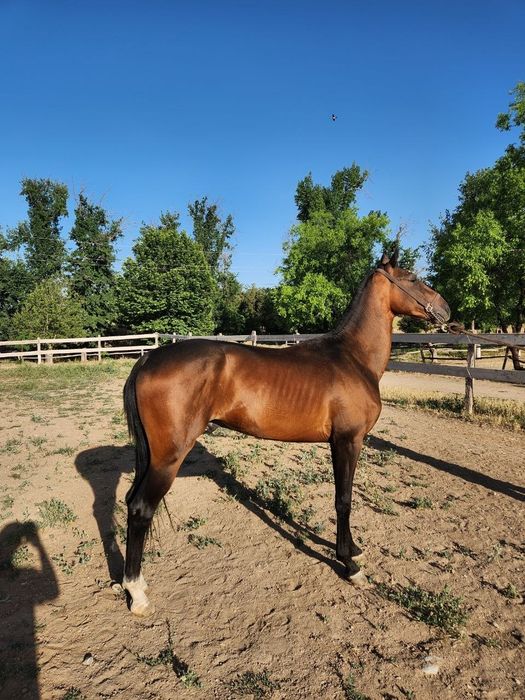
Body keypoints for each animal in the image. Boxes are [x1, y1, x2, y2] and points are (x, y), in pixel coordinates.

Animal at [121, 251, 450, 616]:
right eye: (411, 278)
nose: (446, 309)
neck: (353, 358)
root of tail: (148, 358)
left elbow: (344, 498)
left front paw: (354, 549)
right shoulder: (347, 441)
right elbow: (344, 500)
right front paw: (350, 565)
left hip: (152, 456)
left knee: (130, 501)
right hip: (169, 457)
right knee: (141, 508)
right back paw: (136, 592)